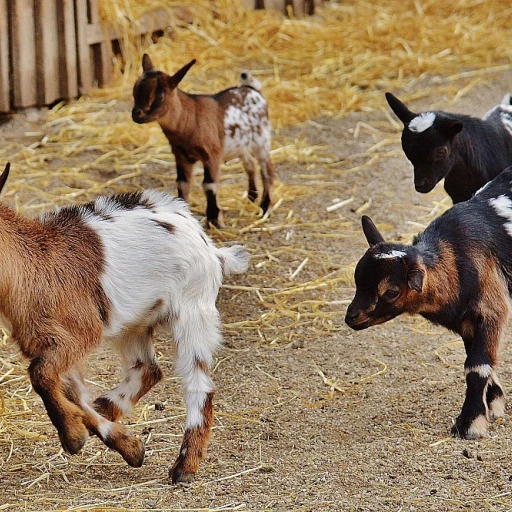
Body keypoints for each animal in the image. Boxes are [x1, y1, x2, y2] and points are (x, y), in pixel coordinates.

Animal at [346, 166, 512, 438]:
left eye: (391, 291)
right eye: (357, 279)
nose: (352, 317)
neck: (456, 258)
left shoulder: (491, 308)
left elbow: (476, 367)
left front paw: (470, 424)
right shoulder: (467, 322)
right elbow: (479, 360)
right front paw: (494, 404)